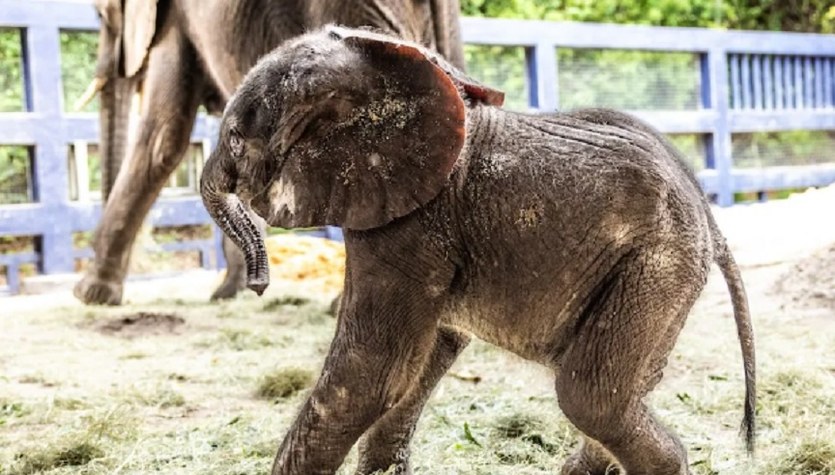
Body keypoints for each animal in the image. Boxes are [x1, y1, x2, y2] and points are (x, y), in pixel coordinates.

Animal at [201, 25, 756, 475]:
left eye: (236, 137)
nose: (257, 285)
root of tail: (710, 218)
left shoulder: (412, 222)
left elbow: (375, 371)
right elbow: (423, 359)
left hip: (656, 261)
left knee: (590, 396)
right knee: (627, 387)